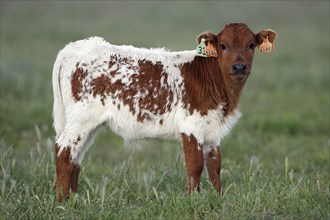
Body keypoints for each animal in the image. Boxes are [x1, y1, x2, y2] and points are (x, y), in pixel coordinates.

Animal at [52, 22, 278, 203]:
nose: (239, 67)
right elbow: (195, 165)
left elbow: (215, 165)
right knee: (64, 151)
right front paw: (194, 200)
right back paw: (62, 202)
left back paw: (75, 198)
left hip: (90, 125)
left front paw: (218, 198)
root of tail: (74, 47)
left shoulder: (213, 129)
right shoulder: (191, 126)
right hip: (80, 119)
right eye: (223, 45)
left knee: (76, 157)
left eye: (251, 45)